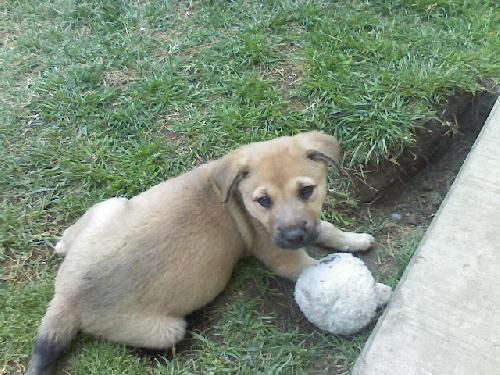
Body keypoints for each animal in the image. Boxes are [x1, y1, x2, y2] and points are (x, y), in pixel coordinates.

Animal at [25, 131, 374, 374]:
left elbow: (325, 228)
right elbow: (313, 268)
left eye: (306, 190)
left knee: (66, 239)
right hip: (166, 330)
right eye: (263, 201)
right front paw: (369, 289)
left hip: (112, 204)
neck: (235, 199)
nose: (294, 236)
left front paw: (354, 239)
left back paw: (62, 244)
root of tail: (66, 299)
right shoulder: (280, 255)